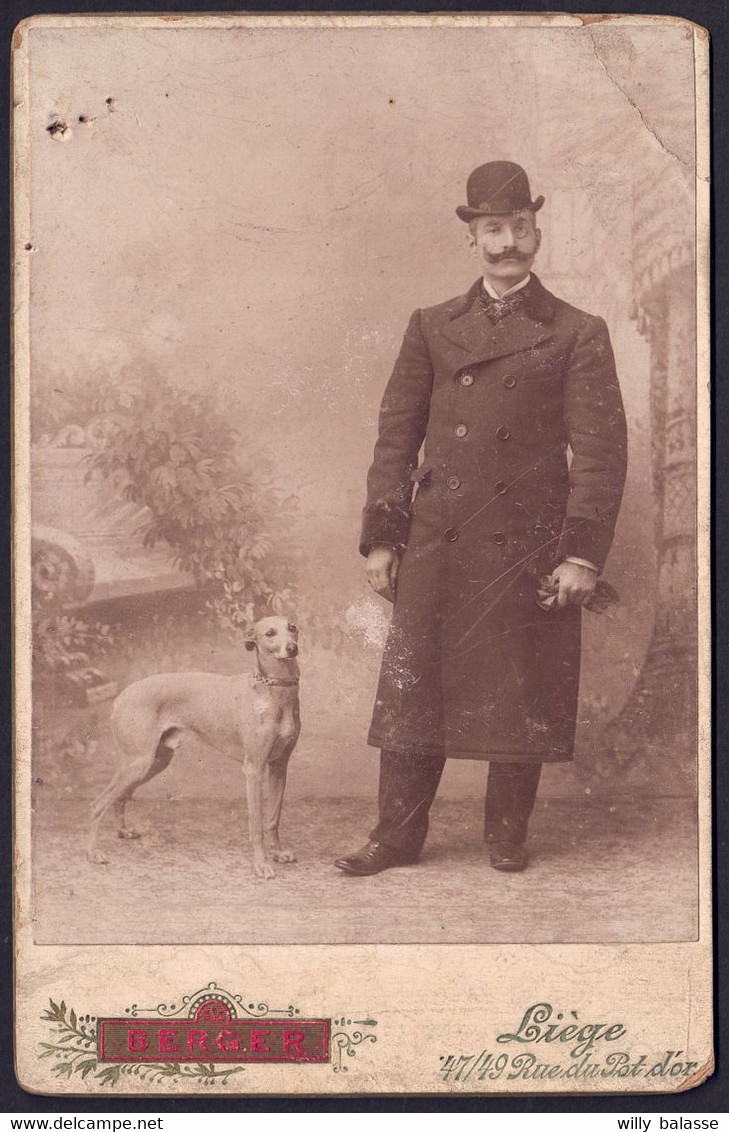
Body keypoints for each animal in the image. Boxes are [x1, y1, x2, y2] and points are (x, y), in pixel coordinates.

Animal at [86, 620, 301, 873]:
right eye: (269, 633)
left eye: (292, 627)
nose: (292, 648)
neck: (273, 692)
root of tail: (121, 696)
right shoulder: (254, 770)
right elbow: (256, 825)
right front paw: (261, 864)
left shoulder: (279, 767)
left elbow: (273, 819)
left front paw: (278, 854)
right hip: (139, 763)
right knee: (97, 804)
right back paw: (92, 853)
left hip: (155, 762)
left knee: (119, 797)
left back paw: (123, 831)